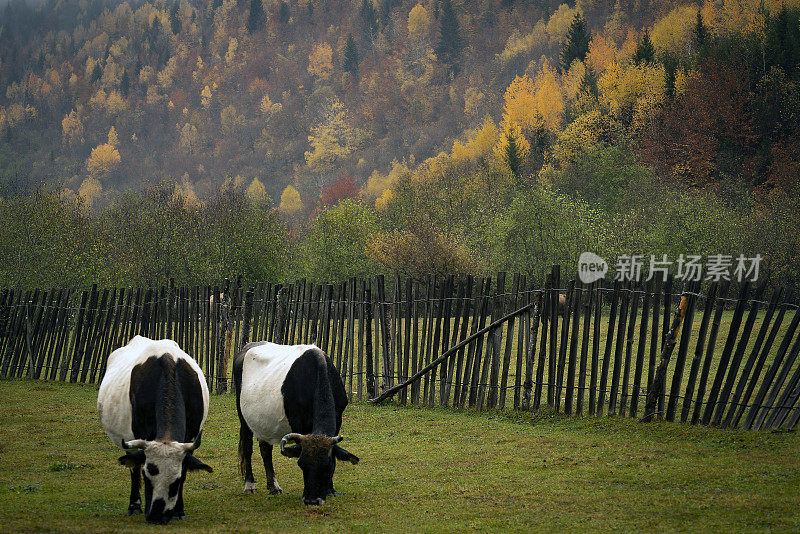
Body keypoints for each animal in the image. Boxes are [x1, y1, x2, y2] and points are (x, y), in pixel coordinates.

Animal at [97, 338, 212, 524]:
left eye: (176, 482)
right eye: (147, 477)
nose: (156, 516)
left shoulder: (191, 437)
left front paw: (179, 510)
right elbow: (136, 468)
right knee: (133, 467)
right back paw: (134, 505)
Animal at [234, 344, 360, 506]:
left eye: (328, 466)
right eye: (301, 464)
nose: (312, 500)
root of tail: (247, 347)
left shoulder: (338, 417)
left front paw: (330, 490)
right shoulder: (298, 421)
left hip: (263, 422)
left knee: (265, 450)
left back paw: (273, 487)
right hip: (243, 418)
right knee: (248, 448)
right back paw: (250, 485)